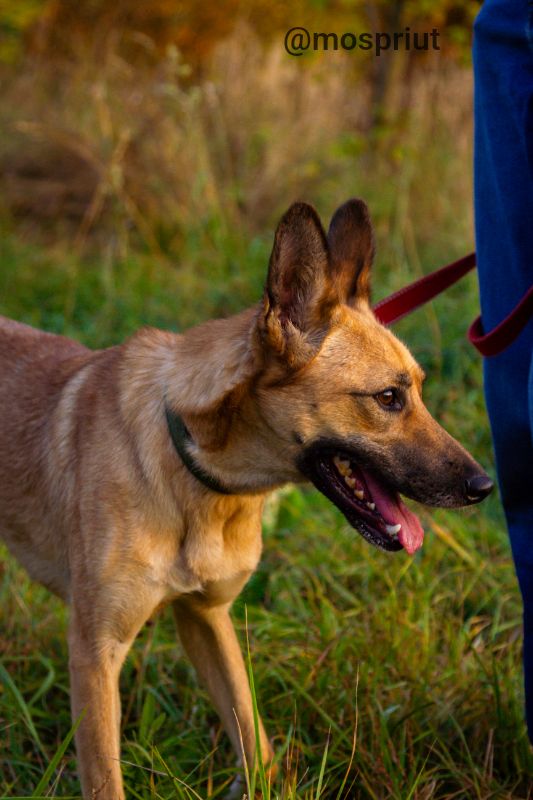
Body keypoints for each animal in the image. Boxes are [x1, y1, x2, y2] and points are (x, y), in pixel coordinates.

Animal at [0, 198, 490, 792]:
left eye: (418, 390)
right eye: (389, 398)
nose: (484, 487)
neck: (192, 472)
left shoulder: (207, 618)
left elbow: (252, 734)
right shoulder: (95, 652)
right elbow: (104, 778)